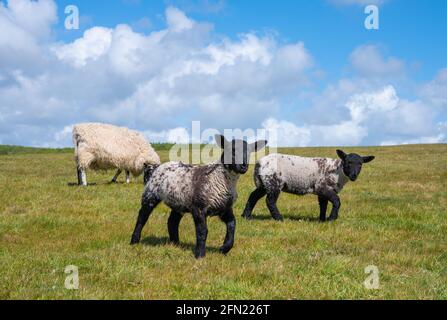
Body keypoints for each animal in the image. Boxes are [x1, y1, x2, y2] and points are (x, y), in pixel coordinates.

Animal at [131, 134, 268, 258]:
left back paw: (176, 243)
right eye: (231, 150)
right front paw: (200, 254)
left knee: (172, 221)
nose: (243, 166)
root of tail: (155, 167)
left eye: (249, 152)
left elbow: (232, 225)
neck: (219, 179)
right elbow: (203, 231)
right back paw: (134, 241)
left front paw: (225, 248)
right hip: (150, 194)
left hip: (179, 202)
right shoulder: (199, 208)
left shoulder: (225, 208)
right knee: (142, 217)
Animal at [242, 151, 374, 222]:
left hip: (263, 182)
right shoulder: (322, 187)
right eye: (348, 162)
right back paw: (279, 218)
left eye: (360, 164)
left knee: (253, 196)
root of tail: (259, 162)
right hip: (273, 181)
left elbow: (323, 205)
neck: (339, 172)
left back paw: (246, 216)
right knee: (270, 201)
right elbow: (337, 201)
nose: (354, 175)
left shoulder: (321, 191)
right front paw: (332, 218)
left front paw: (322, 220)